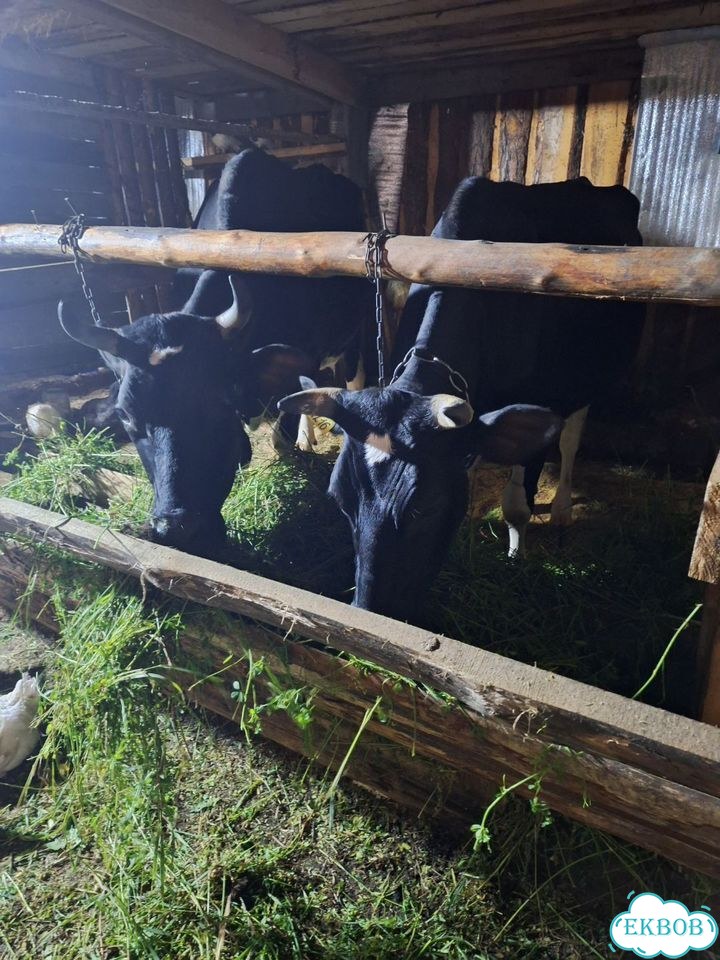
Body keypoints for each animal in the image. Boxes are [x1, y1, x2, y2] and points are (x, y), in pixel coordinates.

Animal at [278, 176, 644, 621]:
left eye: (426, 508)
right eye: (340, 499)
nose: (369, 610)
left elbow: (517, 505)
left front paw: (514, 558)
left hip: (585, 378)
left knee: (572, 438)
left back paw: (560, 509)